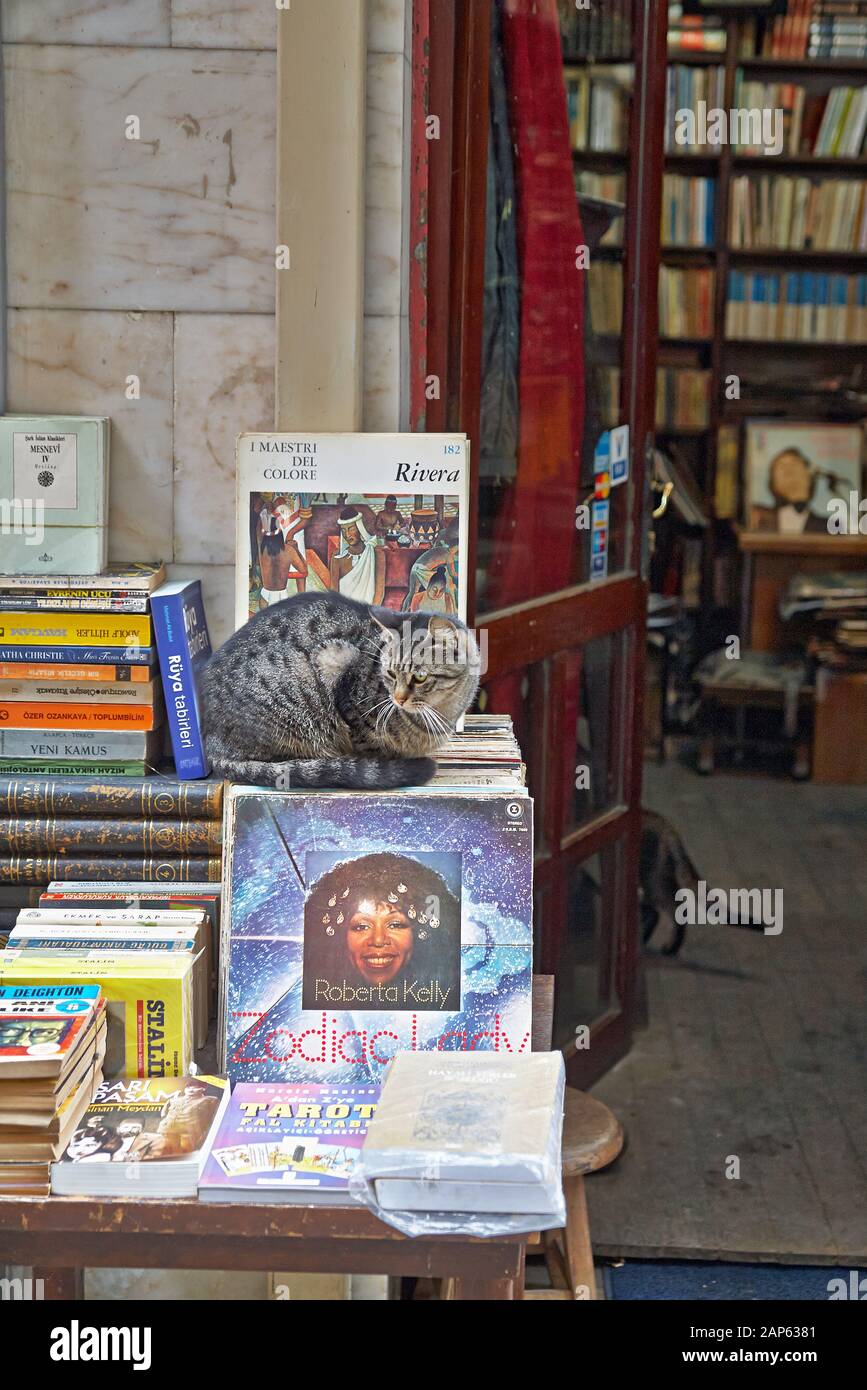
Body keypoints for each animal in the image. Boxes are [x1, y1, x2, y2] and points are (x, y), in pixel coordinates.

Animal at [200, 589, 477, 795]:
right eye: (390, 673)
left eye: (420, 677)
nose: (398, 699)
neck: (439, 712)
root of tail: (211, 743)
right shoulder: (349, 696)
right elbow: (371, 747)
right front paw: (385, 765)